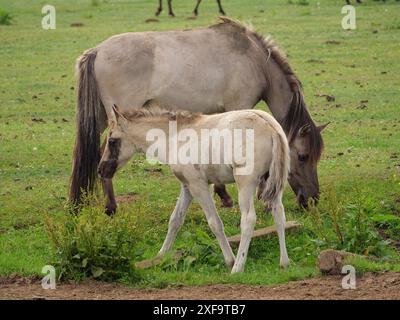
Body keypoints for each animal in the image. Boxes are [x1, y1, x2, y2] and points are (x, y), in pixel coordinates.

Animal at [70, 16, 326, 212]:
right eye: (303, 156)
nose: (312, 198)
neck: (255, 60)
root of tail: (97, 51)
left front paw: (223, 193)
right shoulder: (239, 106)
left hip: (103, 118)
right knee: (104, 152)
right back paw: (111, 207)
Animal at [98, 105, 290, 272]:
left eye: (112, 140)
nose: (101, 170)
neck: (175, 138)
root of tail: (271, 126)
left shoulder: (198, 185)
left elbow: (215, 223)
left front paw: (230, 260)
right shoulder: (187, 186)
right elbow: (175, 220)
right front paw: (160, 256)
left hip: (246, 183)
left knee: (248, 219)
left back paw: (238, 268)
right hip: (272, 182)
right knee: (279, 213)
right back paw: (284, 262)